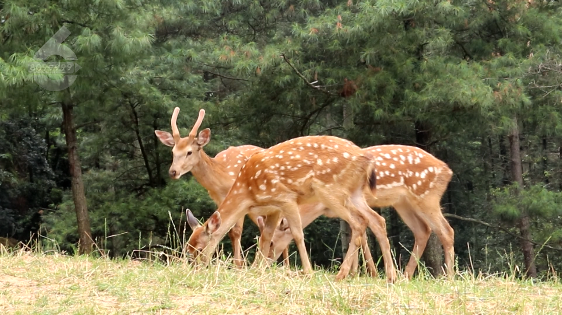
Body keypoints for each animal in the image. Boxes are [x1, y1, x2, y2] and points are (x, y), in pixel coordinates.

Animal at [153, 108, 262, 266]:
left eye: (189, 152)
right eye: (173, 152)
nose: (173, 172)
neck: (223, 177)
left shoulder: (241, 196)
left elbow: (236, 231)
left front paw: (238, 265)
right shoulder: (219, 199)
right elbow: (228, 230)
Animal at [184, 135, 394, 282]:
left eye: (200, 249)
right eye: (188, 249)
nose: (194, 269)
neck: (247, 190)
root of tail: (368, 159)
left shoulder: (285, 198)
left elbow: (297, 234)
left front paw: (308, 273)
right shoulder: (273, 209)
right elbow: (265, 237)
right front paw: (257, 270)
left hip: (330, 190)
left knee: (358, 222)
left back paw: (342, 275)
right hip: (355, 193)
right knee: (376, 220)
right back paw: (390, 276)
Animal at [260, 144, 452, 280]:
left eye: (272, 243)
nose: (268, 263)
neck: (318, 206)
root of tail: (447, 170)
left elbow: (363, 233)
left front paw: (365, 273)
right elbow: (357, 234)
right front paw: (356, 272)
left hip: (426, 197)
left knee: (446, 230)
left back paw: (448, 277)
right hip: (403, 203)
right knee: (423, 230)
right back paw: (406, 276)